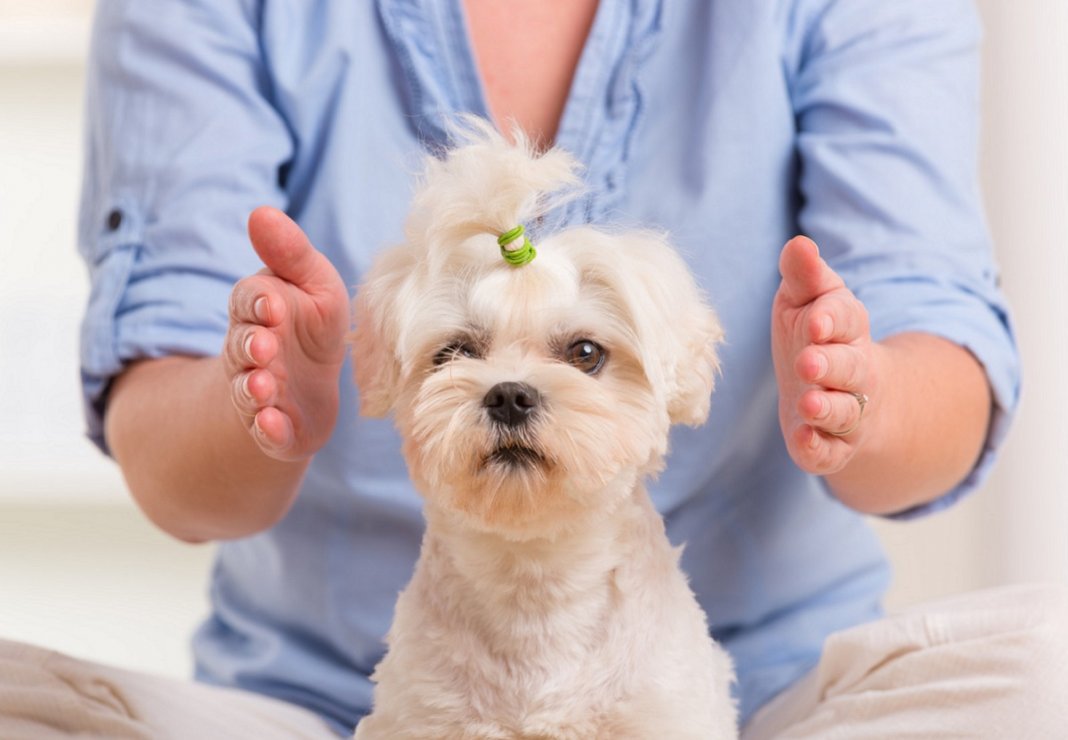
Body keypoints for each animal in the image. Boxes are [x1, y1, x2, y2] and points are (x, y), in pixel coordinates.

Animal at [350, 121, 734, 738]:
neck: (534, 586)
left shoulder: (662, 711)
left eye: (585, 353)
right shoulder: (423, 715)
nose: (509, 394)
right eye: (455, 352)